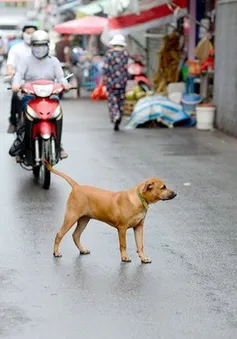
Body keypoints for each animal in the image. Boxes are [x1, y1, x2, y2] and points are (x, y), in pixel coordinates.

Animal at [45, 163, 176, 264]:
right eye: (163, 187)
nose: (175, 194)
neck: (139, 199)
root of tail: (77, 187)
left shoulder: (139, 227)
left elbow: (140, 245)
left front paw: (143, 258)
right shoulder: (122, 228)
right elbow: (123, 244)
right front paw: (125, 257)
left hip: (84, 219)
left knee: (75, 235)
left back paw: (82, 249)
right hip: (71, 217)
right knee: (60, 234)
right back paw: (56, 252)